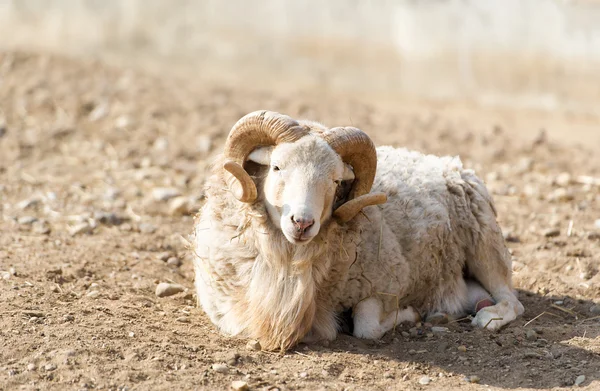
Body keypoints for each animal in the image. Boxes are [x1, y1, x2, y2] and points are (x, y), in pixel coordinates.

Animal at [191, 110, 520, 352]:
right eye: (276, 167)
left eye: (336, 181)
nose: (302, 223)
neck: (290, 260)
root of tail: (450, 162)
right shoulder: (223, 307)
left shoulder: (389, 282)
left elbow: (366, 326)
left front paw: (409, 313)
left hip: (485, 243)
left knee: (512, 300)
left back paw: (486, 316)